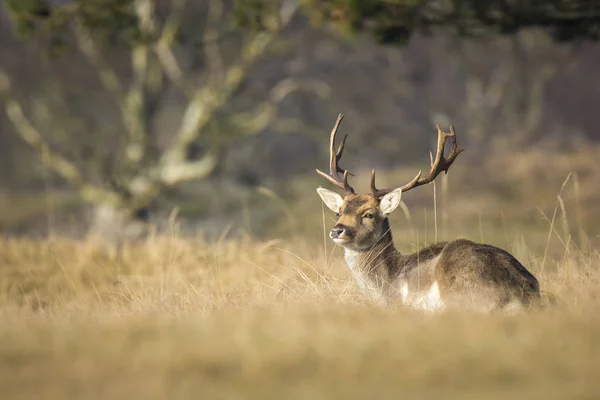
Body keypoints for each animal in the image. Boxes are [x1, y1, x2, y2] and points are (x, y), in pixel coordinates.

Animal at [316, 112, 540, 312]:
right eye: (339, 212)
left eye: (368, 214)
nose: (337, 230)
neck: (387, 284)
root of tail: (522, 290)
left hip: (462, 292)